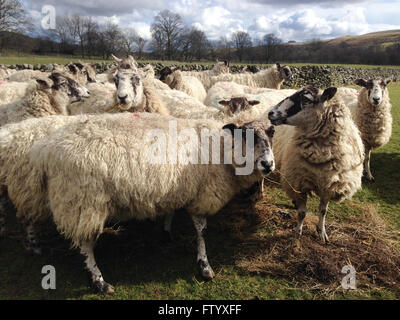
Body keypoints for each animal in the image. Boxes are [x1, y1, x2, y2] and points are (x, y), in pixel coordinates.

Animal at [268, 85, 364, 242]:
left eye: (306, 99)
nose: (271, 113)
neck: (321, 156)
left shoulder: (329, 185)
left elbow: (323, 211)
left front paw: (322, 233)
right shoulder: (299, 183)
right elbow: (302, 213)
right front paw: (298, 233)